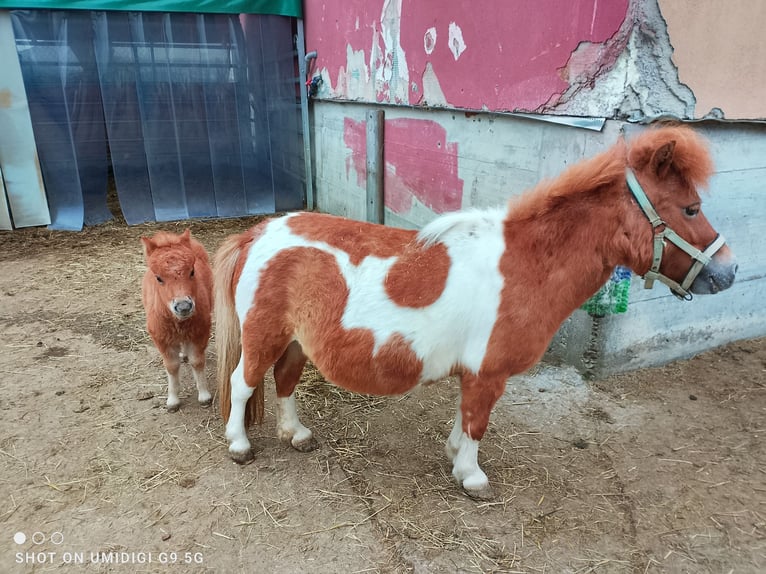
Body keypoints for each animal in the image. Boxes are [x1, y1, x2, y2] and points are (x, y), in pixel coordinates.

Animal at [141, 229, 214, 412]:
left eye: (192, 272)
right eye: (158, 278)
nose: (183, 306)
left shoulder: (200, 331)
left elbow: (197, 361)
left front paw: (204, 396)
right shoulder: (160, 338)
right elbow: (171, 366)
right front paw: (172, 400)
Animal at [214, 124, 737, 499]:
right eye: (691, 209)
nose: (729, 272)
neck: (526, 263)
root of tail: (258, 233)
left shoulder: (476, 373)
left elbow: (465, 417)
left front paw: (454, 455)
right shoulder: (489, 373)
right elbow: (478, 422)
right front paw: (471, 476)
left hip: (296, 341)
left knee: (284, 380)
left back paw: (296, 434)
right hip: (263, 335)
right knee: (243, 382)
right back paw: (239, 444)